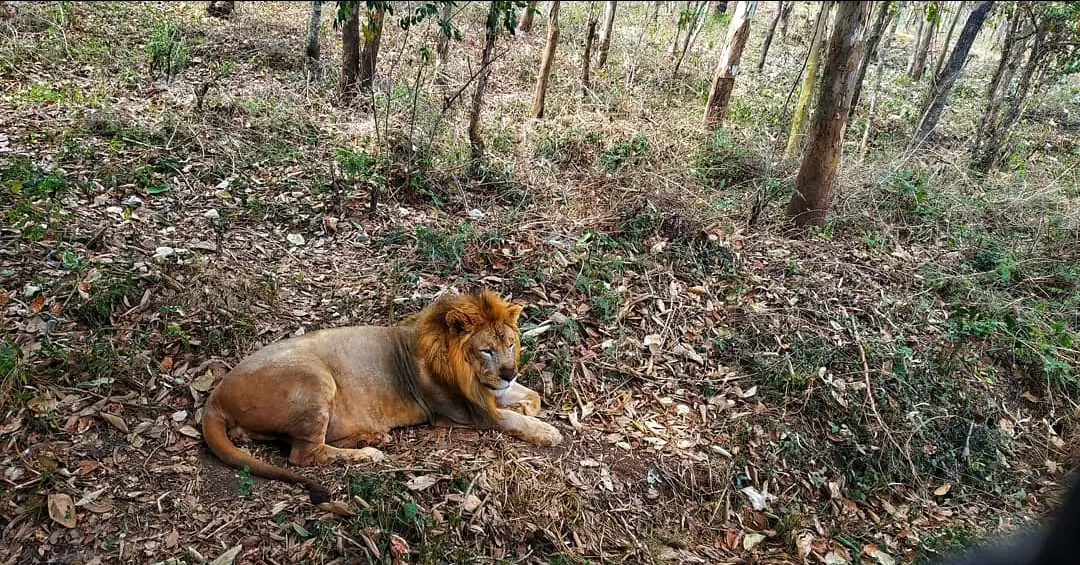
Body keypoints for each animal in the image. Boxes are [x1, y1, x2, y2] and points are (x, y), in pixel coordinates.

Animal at [199, 289, 565, 501]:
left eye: (510, 344)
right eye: (486, 349)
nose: (509, 372)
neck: (467, 373)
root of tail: (215, 399)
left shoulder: (485, 391)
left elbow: (532, 396)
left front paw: (528, 405)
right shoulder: (462, 412)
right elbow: (509, 419)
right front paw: (546, 431)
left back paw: (372, 437)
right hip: (315, 377)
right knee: (304, 454)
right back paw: (367, 454)